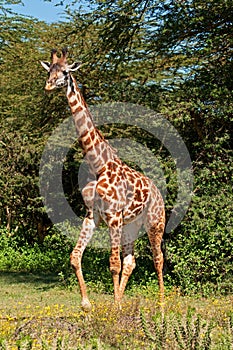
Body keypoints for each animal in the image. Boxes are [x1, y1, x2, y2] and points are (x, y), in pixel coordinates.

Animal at [41, 48, 166, 308]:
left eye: (65, 72)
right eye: (49, 71)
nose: (48, 85)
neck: (97, 165)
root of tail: (158, 192)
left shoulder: (113, 216)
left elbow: (113, 264)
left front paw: (115, 307)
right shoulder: (93, 215)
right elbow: (75, 256)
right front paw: (87, 304)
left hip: (154, 222)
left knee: (157, 259)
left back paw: (161, 306)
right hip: (131, 226)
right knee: (131, 261)